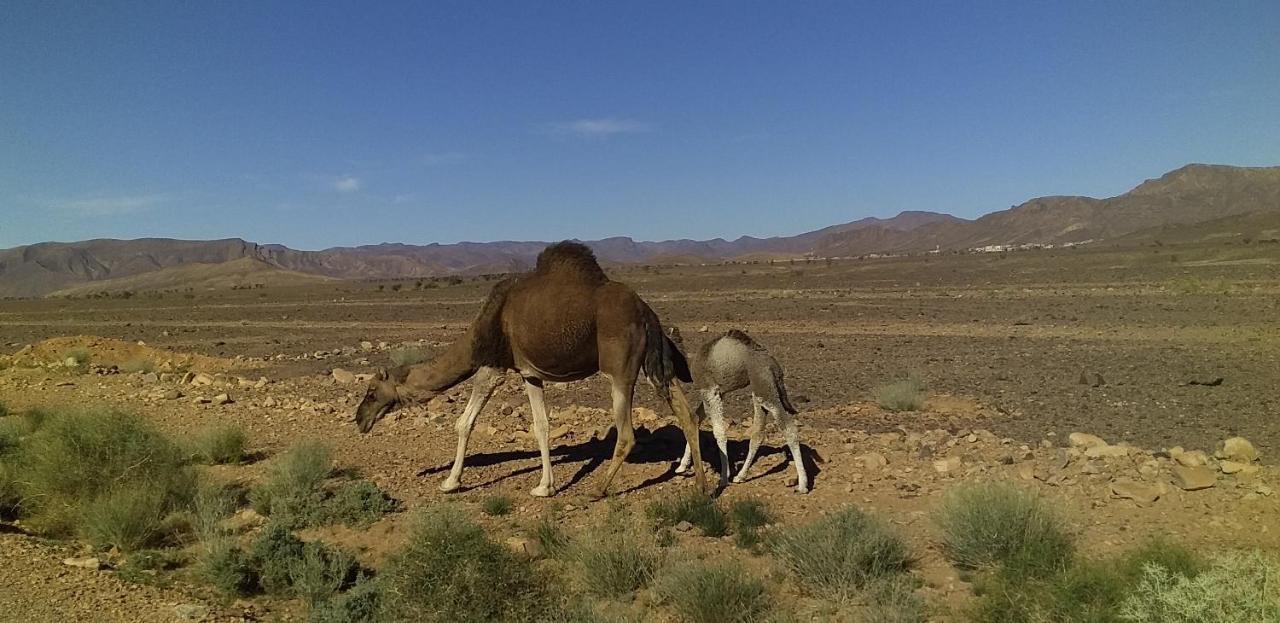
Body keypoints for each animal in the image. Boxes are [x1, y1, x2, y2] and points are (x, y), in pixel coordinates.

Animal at [353, 241, 711, 498]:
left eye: (371, 392)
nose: (359, 420)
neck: (486, 325)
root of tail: (646, 311)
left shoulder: (494, 365)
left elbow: (464, 423)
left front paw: (450, 482)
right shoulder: (529, 373)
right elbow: (541, 426)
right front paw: (544, 487)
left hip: (619, 369)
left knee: (626, 434)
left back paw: (597, 490)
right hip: (654, 365)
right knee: (687, 414)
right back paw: (701, 486)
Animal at [670, 330, 808, 493]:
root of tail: (775, 366)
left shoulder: (710, 390)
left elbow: (719, 432)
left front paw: (724, 478)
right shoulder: (718, 393)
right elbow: (695, 419)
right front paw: (682, 466)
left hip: (765, 389)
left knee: (789, 428)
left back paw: (803, 485)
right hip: (761, 391)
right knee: (758, 432)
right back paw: (741, 476)